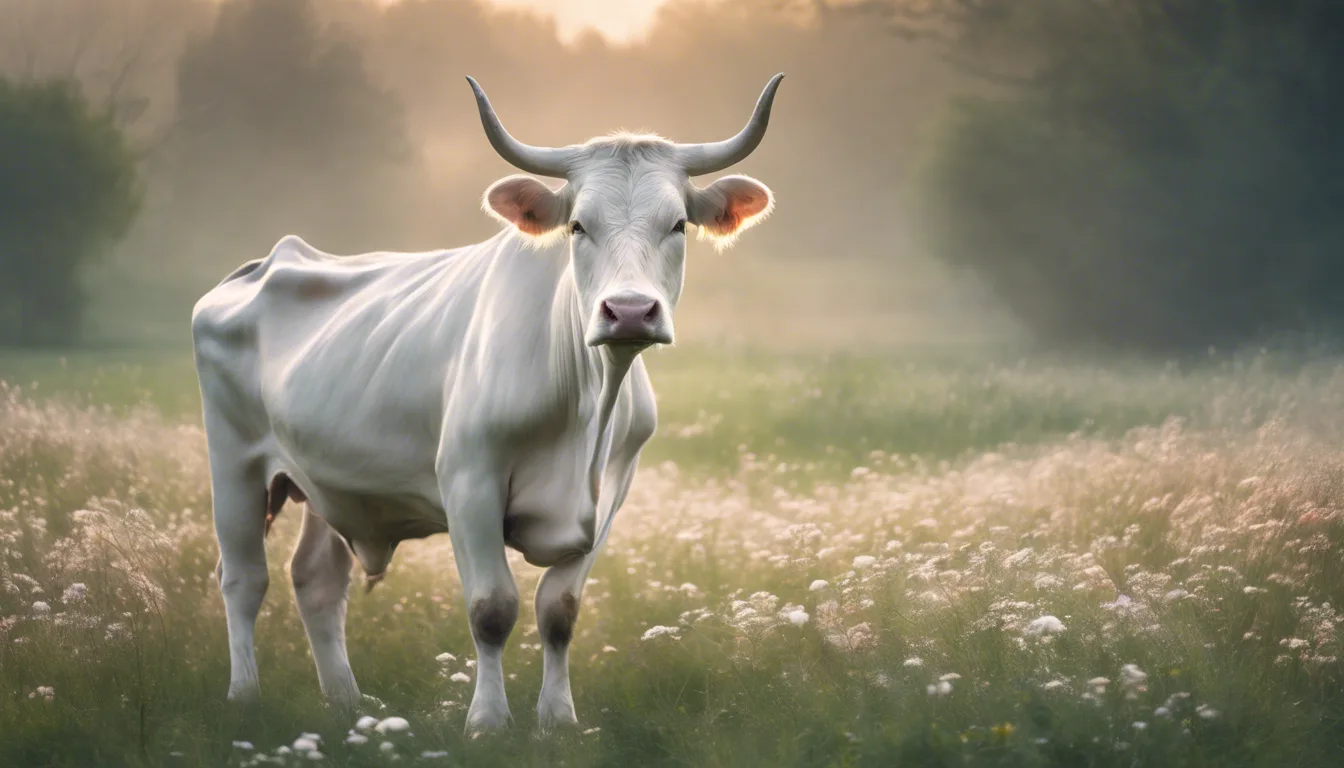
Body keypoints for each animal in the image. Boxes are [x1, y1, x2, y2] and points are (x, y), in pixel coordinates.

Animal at [191, 73, 783, 732]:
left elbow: (560, 609)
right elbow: (492, 609)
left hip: (328, 480)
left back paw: (345, 700)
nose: (629, 310)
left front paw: (558, 718)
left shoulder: (613, 493)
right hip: (234, 461)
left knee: (316, 580)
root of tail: (264, 262)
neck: (585, 418)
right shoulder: (469, 481)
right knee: (243, 578)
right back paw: (244, 695)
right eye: (578, 226)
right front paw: (488, 721)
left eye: (678, 224)